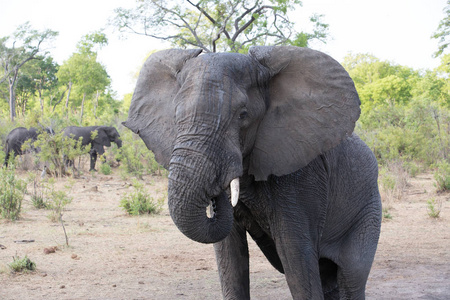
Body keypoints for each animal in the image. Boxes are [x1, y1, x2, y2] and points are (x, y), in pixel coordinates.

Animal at [124, 45, 384, 298]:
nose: (217, 192)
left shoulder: (300, 176)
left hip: (367, 213)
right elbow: (230, 260)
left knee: (351, 277)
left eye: (243, 115)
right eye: (176, 115)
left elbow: (296, 259)